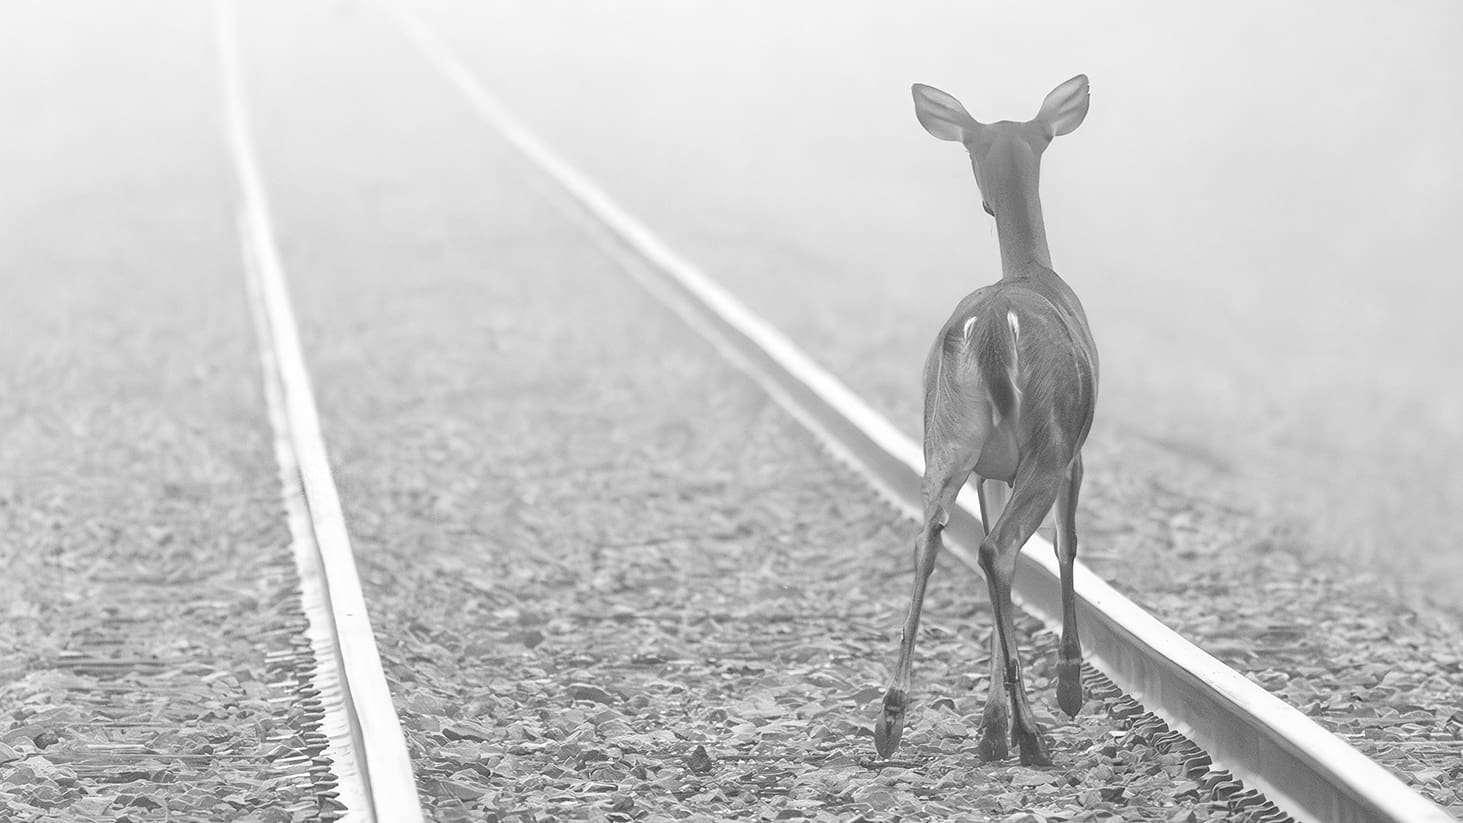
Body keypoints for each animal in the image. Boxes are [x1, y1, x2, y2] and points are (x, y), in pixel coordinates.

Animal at [873, 76, 1098, 767]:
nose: (986, 205)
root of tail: (996, 329)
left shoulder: (987, 469)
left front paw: (990, 727)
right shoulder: (1074, 453)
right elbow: (1066, 545)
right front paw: (1063, 690)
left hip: (945, 437)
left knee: (933, 540)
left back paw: (891, 719)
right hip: (1048, 439)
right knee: (1000, 547)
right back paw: (1035, 733)